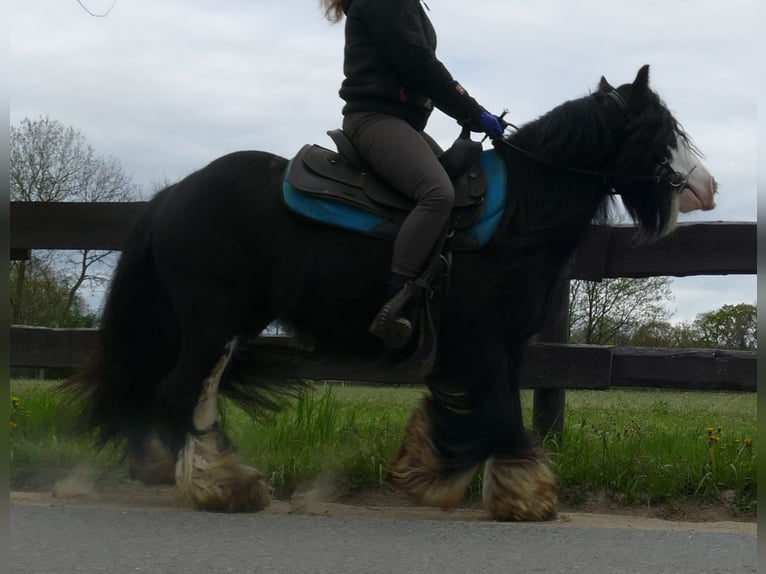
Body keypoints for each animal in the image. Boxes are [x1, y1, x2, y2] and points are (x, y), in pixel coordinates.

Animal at [69, 67, 716, 520]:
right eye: (661, 132)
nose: (707, 187)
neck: (519, 212)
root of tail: (172, 195)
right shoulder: (480, 342)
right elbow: (499, 416)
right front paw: (496, 489)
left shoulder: (506, 347)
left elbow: (495, 414)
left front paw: (466, 477)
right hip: (212, 317)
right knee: (179, 391)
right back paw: (221, 484)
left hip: (220, 325)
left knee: (190, 392)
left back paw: (200, 472)